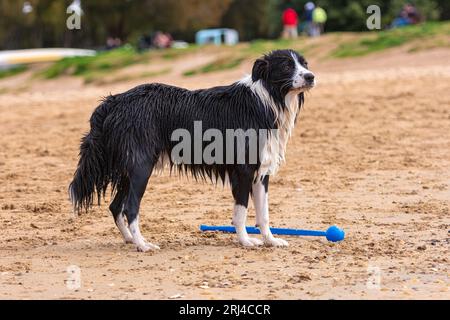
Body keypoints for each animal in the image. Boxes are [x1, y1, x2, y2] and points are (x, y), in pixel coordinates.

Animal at [71, 48, 316, 251]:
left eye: (304, 63)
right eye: (286, 66)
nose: (311, 76)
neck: (268, 98)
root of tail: (116, 100)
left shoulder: (261, 172)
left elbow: (263, 213)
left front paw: (270, 241)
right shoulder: (243, 170)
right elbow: (241, 211)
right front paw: (245, 241)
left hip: (128, 172)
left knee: (115, 206)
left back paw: (130, 239)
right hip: (141, 168)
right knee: (130, 207)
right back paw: (142, 244)